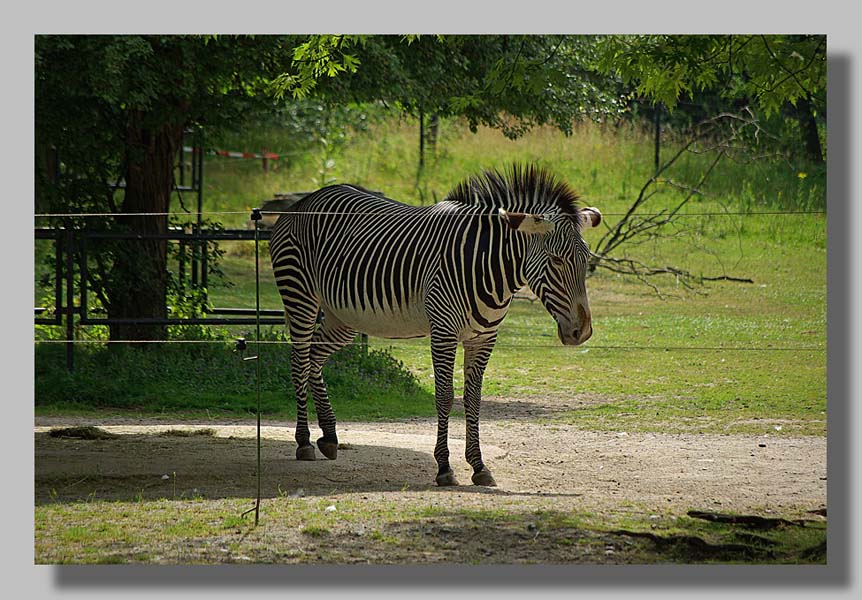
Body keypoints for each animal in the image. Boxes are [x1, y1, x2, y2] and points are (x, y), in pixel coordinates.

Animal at [268, 164, 600, 488]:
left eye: (586, 259)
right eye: (556, 260)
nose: (581, 332)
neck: (486, 264)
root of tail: (305, 201)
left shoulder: (484, 337)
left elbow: (473, 399)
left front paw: (479, 466)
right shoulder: (444, 332)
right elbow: (444, 397)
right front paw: (444, 468)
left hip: (345, 317)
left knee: (314, 359)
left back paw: (329, 437)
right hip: (300, 295)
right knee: (299, 362)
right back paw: (304, 442)